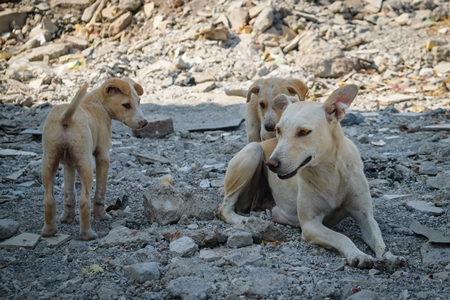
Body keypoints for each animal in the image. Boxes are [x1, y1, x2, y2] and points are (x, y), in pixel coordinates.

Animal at [40, 78, 148, 241]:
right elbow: (100, 192)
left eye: (139, 102)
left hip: (49, 161)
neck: (98, 103)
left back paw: (49, 231)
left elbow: (69, 194)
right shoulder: (103, 157)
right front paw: (101, 216)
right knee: (84, 201)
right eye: (126, 105)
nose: (144, 123)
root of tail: (66, 118)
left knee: (49, 199)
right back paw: (87, 234)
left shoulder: (69, 163)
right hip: (86, 165)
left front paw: (67, 219)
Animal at [218, 85, 404, 270]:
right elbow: (341, 237)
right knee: (224, 208)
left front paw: (390, 257)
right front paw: (358, 255)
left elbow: (379, 239)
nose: (271, 163)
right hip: (253, 152)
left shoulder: (365, 216)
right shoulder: (310, 224)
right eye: (278, 130)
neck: (329, 172)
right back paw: (242, 220)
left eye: (304, 132)